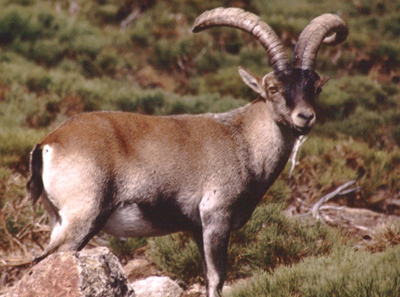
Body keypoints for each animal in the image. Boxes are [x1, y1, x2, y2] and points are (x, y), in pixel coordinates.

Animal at [28, 8, 346, 296]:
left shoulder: (196, 227)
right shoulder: (216, 216)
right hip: (82, 218)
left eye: (315, 87)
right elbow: (217, 279)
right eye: (273, 88)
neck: (242, 139)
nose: (305, 117)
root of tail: (49, 143)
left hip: (60, 220)